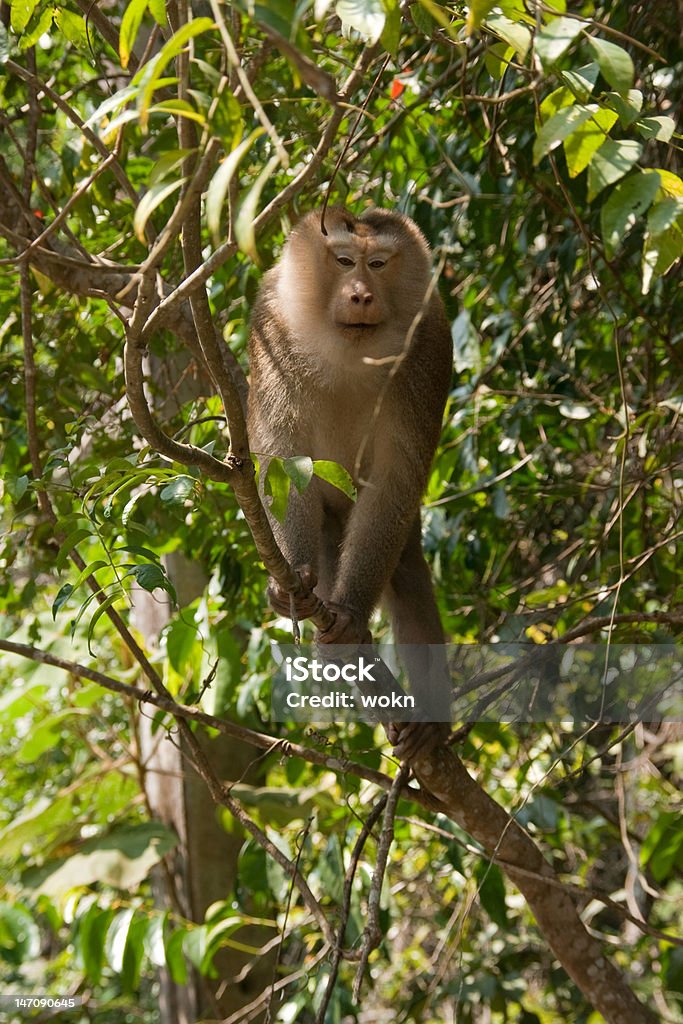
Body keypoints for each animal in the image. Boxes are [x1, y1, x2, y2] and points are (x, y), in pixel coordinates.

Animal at [246, 205, 454, 761]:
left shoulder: (428, 342)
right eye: (343, 261)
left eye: (378, 263)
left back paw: (430, 728)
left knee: (405, 572)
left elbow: (395, 480)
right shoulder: (271, 328)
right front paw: (291, 584)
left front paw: (351, 615)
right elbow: (282, 462)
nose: (360, 294)